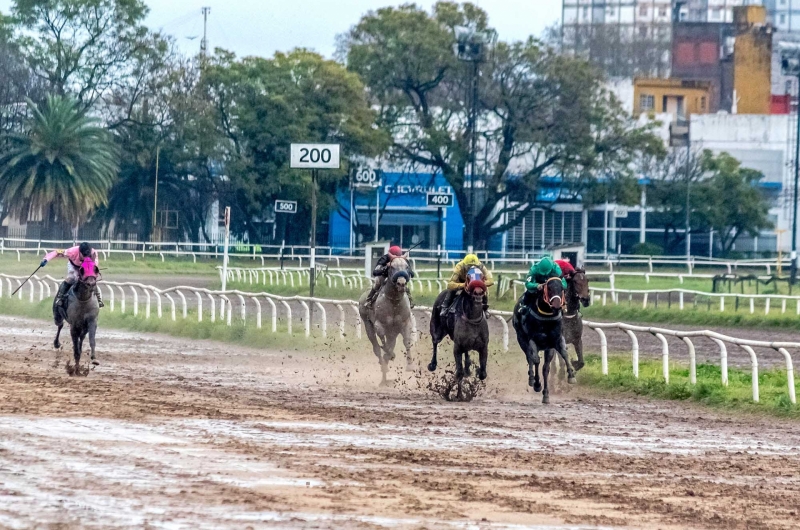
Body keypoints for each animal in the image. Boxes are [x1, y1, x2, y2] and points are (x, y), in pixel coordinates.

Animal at [360, 254, 416, 382]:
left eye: (407, 267)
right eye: (392, 267)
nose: (401, 283)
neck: (394, 301)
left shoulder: (405, 323)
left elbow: (406, 342)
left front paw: (410, 365)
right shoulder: (379, 324)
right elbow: (382, 340)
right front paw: (389, 355)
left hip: (392, 332)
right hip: (367, 323)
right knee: (376, 347)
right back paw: (384, 365)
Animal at [516, 274, 580, 402]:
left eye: (562, 288)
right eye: (549, 288)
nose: (556, 304)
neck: (546, 317)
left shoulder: (554, 341)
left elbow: (563, 355)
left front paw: (571, 375)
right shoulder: (532, 340)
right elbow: (535, 360)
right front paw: (536, 383)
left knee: (544, 368)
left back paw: (545, 394)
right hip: (521, 340)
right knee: (530, 358)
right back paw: (532, 380)